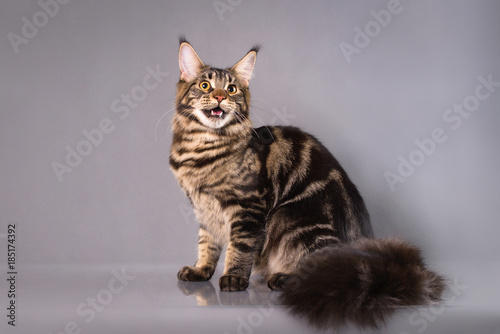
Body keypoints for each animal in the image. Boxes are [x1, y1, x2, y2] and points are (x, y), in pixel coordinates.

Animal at [169, 37, 446, 328]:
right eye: (205, 85)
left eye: (232, 89)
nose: (220, 97)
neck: (201, 148)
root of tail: (362, 251)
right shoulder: (204, 209)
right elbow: (207, 244)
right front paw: (201, 270)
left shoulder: (247, 207)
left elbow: (240, 247)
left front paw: (234, 277)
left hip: (291, 218)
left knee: (319, 269)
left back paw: (282, 278)